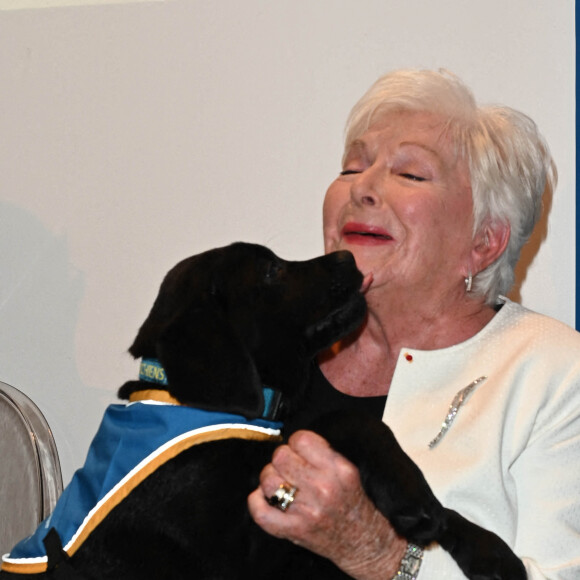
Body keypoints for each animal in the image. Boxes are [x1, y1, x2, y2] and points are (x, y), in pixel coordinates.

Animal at [1, 242, 524, 576]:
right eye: (271, 271)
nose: (349, 255)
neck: (201, 404)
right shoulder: (246, 547)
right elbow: (335, 421)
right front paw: (409, 494)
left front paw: (487, 549)